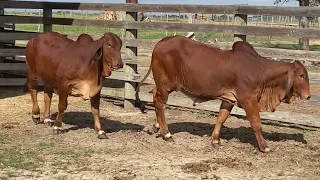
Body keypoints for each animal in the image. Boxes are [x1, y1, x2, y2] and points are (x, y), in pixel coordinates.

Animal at [136, 35, 312, 153]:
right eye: (301, 75)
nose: (309, 96)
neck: (261, 71)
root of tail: (160, 43)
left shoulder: (229, 99)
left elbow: (221, 118)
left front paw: (215, 140)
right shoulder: (248, 100)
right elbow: (256, 124)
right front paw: (265, 147)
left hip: (162, 85)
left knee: (156, 99)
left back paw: (156, 127)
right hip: (165, 85)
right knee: (159, 103)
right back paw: (166, 134)